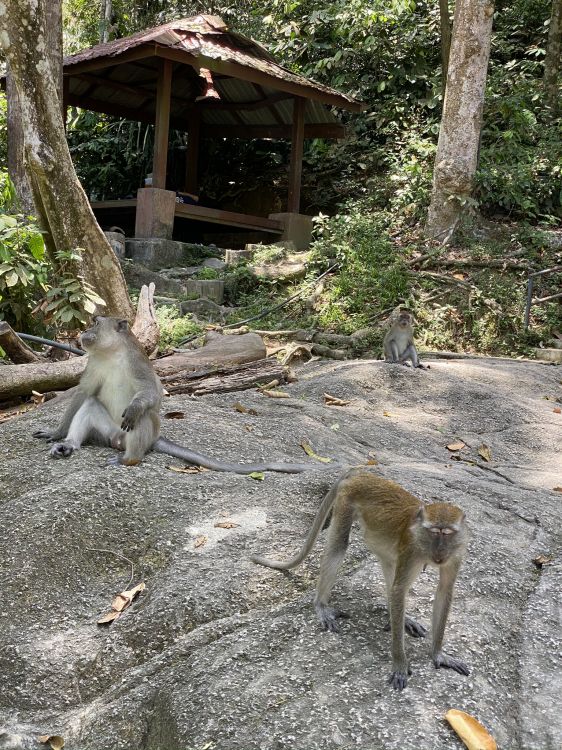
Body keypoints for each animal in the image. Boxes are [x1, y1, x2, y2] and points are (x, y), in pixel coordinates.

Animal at [33, 316, 334, 474]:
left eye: (96, 323)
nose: (84, 332)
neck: (112, 354)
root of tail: (121, 443)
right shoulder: (94, 363)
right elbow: (82, 394)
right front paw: (57, 433)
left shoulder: (137, 364)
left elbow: (152, 394)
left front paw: (138, 406)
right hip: (109, 433)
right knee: (92, 403)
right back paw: (69, 445)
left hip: (138, 437)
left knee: (141, 418)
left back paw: (130, 458)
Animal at [251, 469, 469, 690]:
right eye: (434, 532)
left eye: (447, 533)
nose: (440, 552)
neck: (425, 545)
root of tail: (364, 473)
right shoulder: (411, 550)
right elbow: (399, 589)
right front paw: (400, 663)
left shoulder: (455, 555)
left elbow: (444, 591)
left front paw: (438, 653)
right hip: (346, 501)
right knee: (339, 546)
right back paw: (321, 605)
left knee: (389, 564)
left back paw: (397, 615)